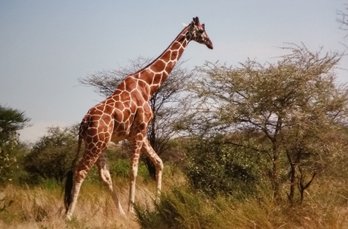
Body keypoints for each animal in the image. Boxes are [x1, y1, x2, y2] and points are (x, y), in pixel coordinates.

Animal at [64, 16, 213, 220]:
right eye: (202, 30)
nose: (211, 44)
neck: (148, 85)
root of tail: (83, 123)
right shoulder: (141, 129)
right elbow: (134, 171)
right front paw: (133, 209)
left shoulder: (137, 133)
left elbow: (159, 163)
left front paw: (156, 203)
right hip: (96, 143)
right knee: (80, 171)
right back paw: (69, 216)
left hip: (99, 143)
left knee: (104, 175)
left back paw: (119, 213)